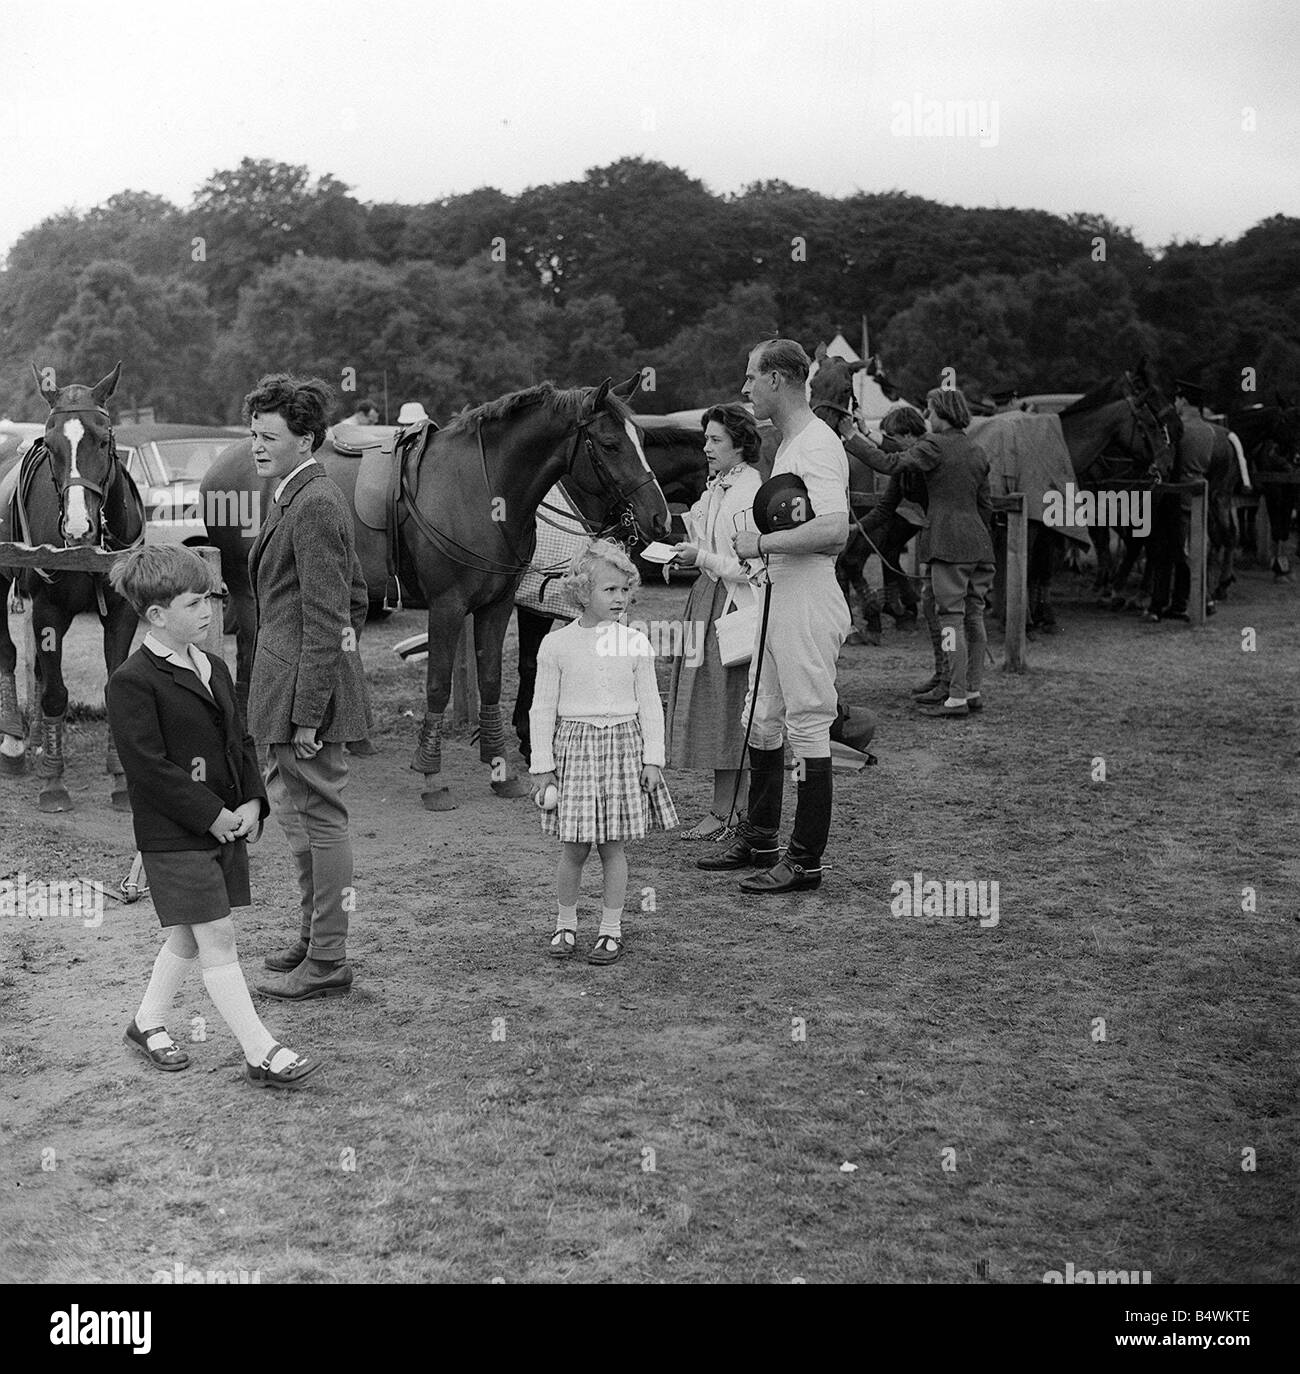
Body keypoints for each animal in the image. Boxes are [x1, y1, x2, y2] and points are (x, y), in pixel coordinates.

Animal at [0, 368, 142, 813]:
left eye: (104, 439)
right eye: (50, 444)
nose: (79, 527)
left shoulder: (123, 612)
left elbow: (112, 687)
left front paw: (121, 780)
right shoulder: (48, 609)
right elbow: (55, 695)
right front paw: (53, 783)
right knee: (9, 655)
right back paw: (14, 742)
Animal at [207, 370, 667, 807]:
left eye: (644, 440)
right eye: (609, 444)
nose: (659, 518)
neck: (482, 490)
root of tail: (222, 462)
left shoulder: (497, 606)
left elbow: (491, 680)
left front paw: (500, 770)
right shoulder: (447, 607)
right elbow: (438, 686)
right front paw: (431, 776)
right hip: (250, 593)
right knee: (248, 657)